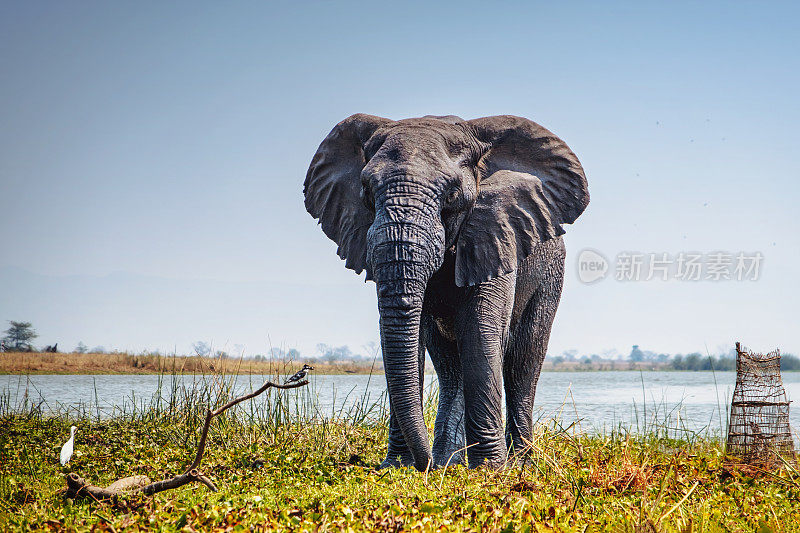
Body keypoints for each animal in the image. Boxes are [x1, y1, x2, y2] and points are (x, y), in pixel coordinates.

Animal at [304, 113, 592, 470]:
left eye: (452, 196)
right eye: (366, 192)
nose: (423, 464)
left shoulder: (496, 233)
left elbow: (481, 330)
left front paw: (489, 470)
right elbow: (407, 337)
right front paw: (398, 466)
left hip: (550, 272)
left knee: (523, 360)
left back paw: (518, 463)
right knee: (448, 362)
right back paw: (449, 461)